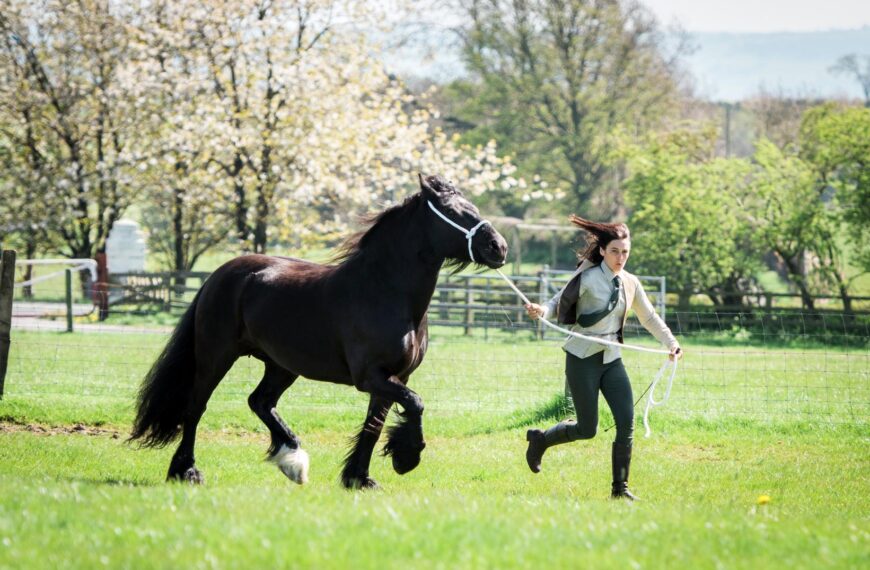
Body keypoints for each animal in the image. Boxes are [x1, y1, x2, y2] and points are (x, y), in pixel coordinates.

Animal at [129, 174, 508, 489]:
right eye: (452, 211)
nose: (498, 247)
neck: (384, 290)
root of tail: (219, 275)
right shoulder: (371, 376)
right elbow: (415, 405)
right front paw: (406, 458)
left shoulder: (395, 377)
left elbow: (374, 427)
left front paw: (359, 478)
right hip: (216, 355)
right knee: (195, 408)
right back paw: (186, 471)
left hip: (281, 365)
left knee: (260, 401)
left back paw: (292, 461)